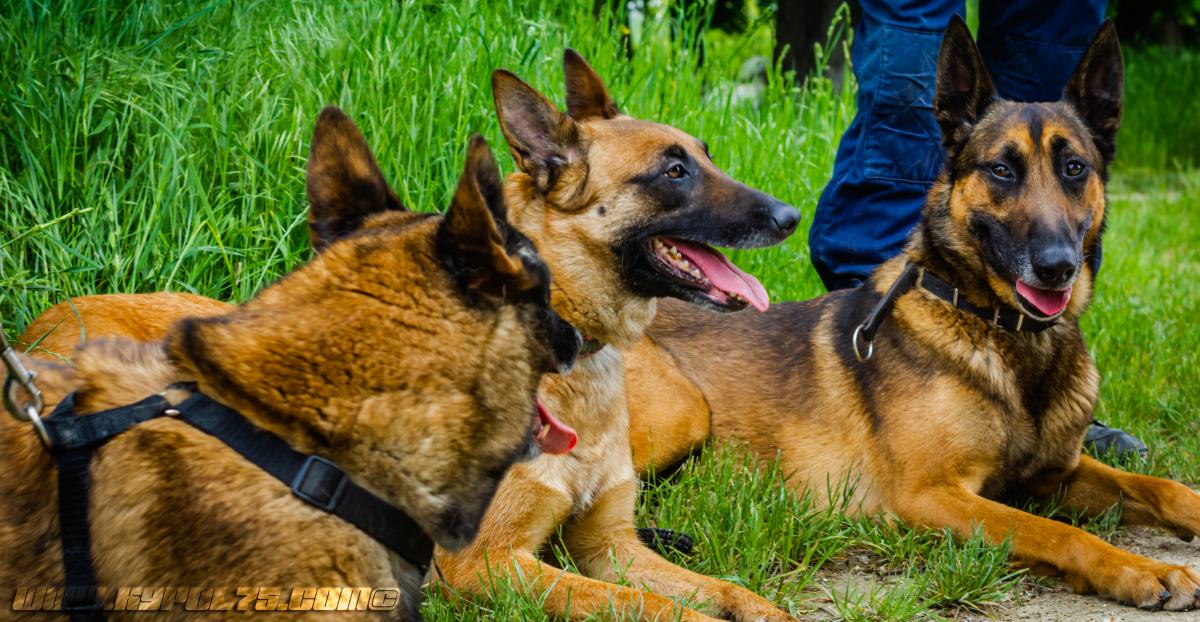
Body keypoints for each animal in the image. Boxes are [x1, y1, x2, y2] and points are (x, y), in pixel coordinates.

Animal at [624, 19, 1200, 611]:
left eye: (1075, 168)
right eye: (1001, 170)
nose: (1057, 266)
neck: (998, 331)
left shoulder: (1053, 473)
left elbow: (1164, 487)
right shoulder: (930, 494)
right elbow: (1058, 533)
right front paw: (1141, 569)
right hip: (685, 410)